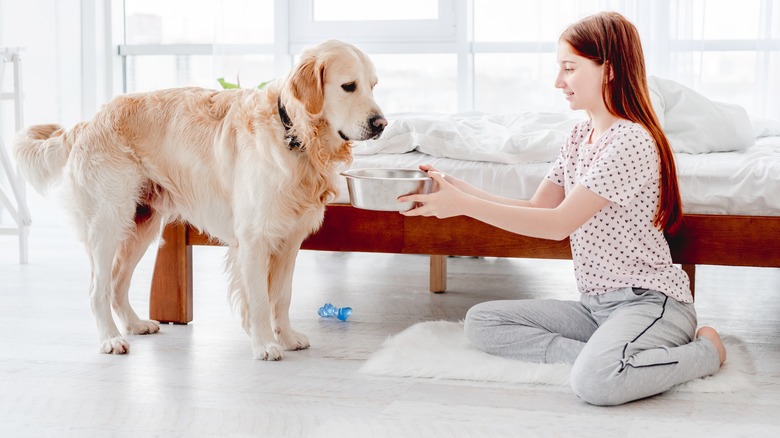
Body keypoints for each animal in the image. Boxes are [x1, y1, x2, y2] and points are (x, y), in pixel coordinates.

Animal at [13, 40, 386, 360]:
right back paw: (110, 339)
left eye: (373, 85)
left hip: (142, 224)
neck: (293, 135)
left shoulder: (290, 238)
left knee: (117, 284)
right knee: (97, 289)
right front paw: (265, 344)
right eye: (348, 86)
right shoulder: (254, 239)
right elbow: (260, 300)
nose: (381, 124)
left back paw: (134, 324)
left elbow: (281, 296)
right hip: (107, 222)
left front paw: (289, 338)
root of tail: (90, 120)